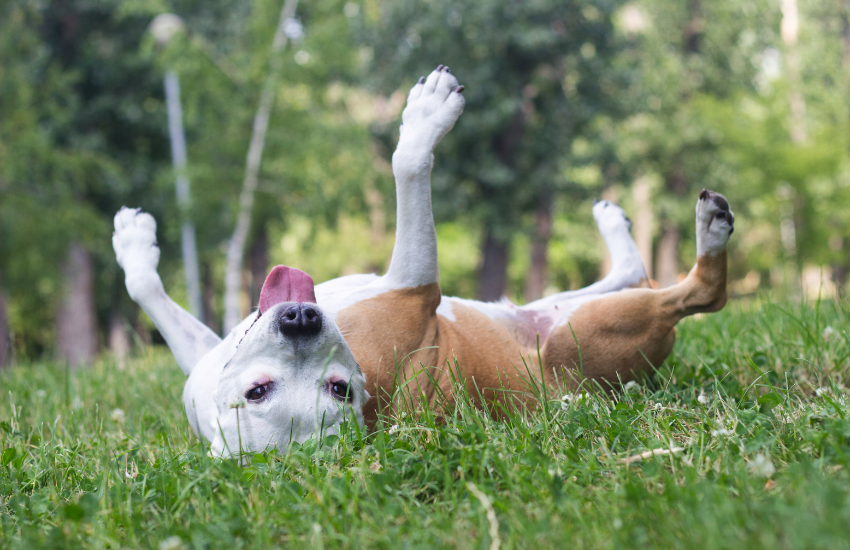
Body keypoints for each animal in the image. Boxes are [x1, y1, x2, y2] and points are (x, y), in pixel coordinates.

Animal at [116, 67, 732, 458]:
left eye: (338, 390)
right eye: (259, 392)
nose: (301, 319)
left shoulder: (204, 360)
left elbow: (151, 296)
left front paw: (133, 246)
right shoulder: (416, 285)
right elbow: (410, 163)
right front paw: (429, 116)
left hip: (552, 304)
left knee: (630, 274)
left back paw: (617, 223)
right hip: (594, 327)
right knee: (700, 294)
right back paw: (710, 231)